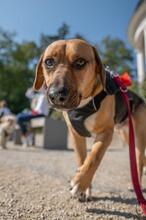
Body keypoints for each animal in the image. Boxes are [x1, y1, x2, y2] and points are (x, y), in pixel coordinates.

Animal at [32, 39, 146, 199]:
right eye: (49, 62)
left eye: (80, 62)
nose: (56, 95)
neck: (84, 104)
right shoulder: (76, 135)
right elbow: (82, 160)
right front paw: (85, 188)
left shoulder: (105, 133)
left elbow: (93, 157)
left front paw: (80, 183)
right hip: (126, 136)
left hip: (139, 138)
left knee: (139, 162)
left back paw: (137, 185)